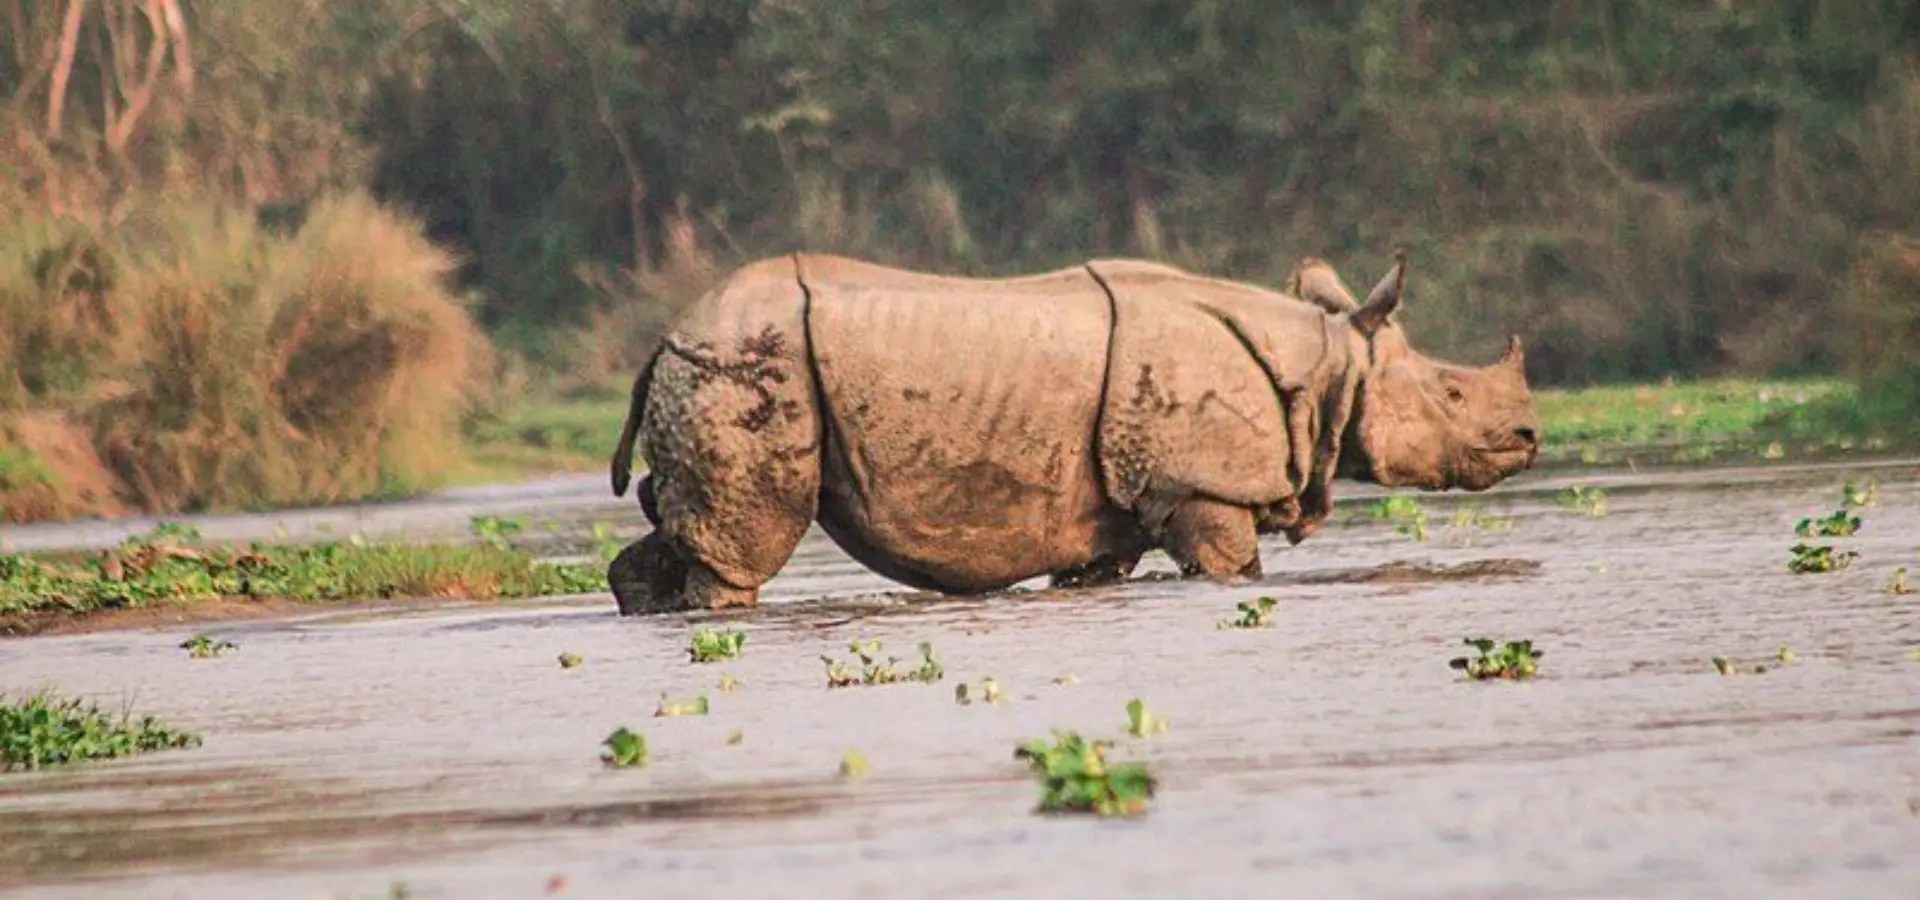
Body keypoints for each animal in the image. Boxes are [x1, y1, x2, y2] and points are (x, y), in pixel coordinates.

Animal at [604, 250, 1540, 615]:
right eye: (1454, 393)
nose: (1531, 437)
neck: (1329, 362)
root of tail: (667, 333)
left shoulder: (1112, 516)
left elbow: (1095, 570)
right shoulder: (1202, 488)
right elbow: (1234, 571)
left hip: (716, 366)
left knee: (677, 533)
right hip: (746, 367)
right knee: (744, 546)